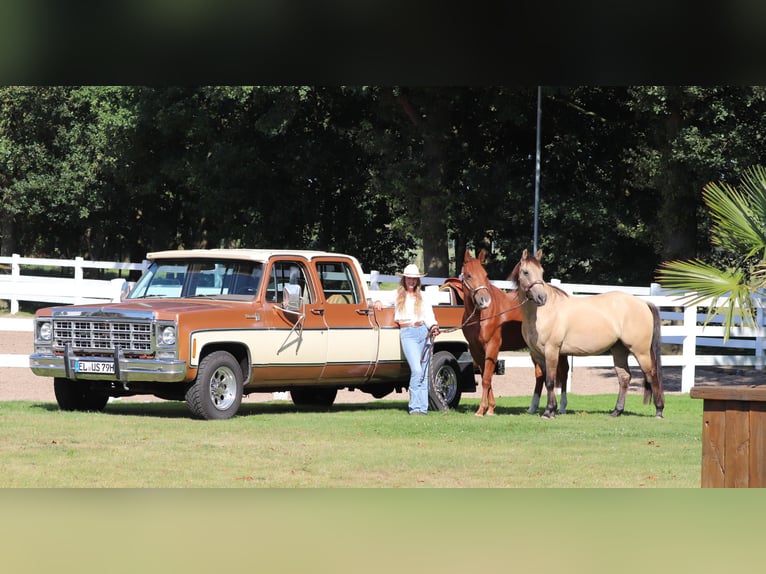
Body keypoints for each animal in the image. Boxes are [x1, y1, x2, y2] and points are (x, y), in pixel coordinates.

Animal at [458, 249, 569, 417]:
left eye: (485, 275)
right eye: (469, 275)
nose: (485, 300)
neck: (482, 316)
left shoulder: (493, 347)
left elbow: (486, 379)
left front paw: (482, 409)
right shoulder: (476, 350)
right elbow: (485, 376)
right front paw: (491, 408)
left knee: (563, 372)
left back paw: (561, 407)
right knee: (540, 374)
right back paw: (533, 407)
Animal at [509, 248, 665, 419]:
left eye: (542, 272)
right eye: (526, 272)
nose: (542, 298)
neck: (543, 313)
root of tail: (644, 303)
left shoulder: (552, 351)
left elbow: (550, 381)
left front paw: (549, 411)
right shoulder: (537, 354)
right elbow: (544, 381)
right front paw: (550, 409)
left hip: (640, 351)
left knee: (652, 375)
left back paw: (659, 410)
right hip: (619, 350)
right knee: (624, 377)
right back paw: (617, 411)